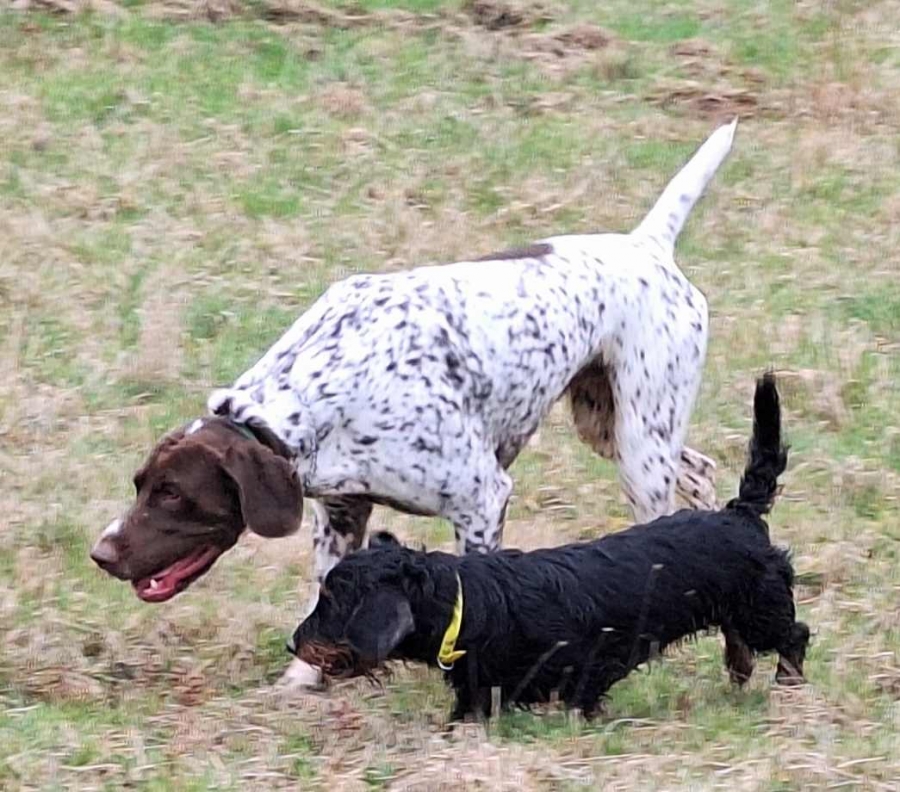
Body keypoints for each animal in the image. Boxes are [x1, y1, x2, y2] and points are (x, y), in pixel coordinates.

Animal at [90, 121, 735, 684]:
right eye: (140, 484)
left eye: (174, 494)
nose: (101, 554)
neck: (322, 388)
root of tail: (648, 245)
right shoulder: (341, 514)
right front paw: (304, 683)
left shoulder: (482, 499)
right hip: (611, 428)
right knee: (700, 472)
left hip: (640, 447)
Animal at [289, 374, 809, 720]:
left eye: (333, 601)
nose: (293, 643)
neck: (465, 602)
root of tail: (738, 512)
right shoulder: (480, 691)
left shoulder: (584, 671)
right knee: (741, 642)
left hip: (762, 608)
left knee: (794, 636)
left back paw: (789, 682)